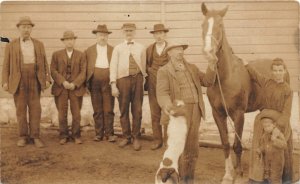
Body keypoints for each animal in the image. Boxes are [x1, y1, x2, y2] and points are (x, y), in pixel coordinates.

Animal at [200, 2, 290, 184]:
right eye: (203, 25)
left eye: (221, 25)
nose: (208, 52)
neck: (225, 77)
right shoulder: (218, 114)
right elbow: (225, 143)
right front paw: (228, 174)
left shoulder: (238, 114)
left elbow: (237, 145)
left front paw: (239, 173)